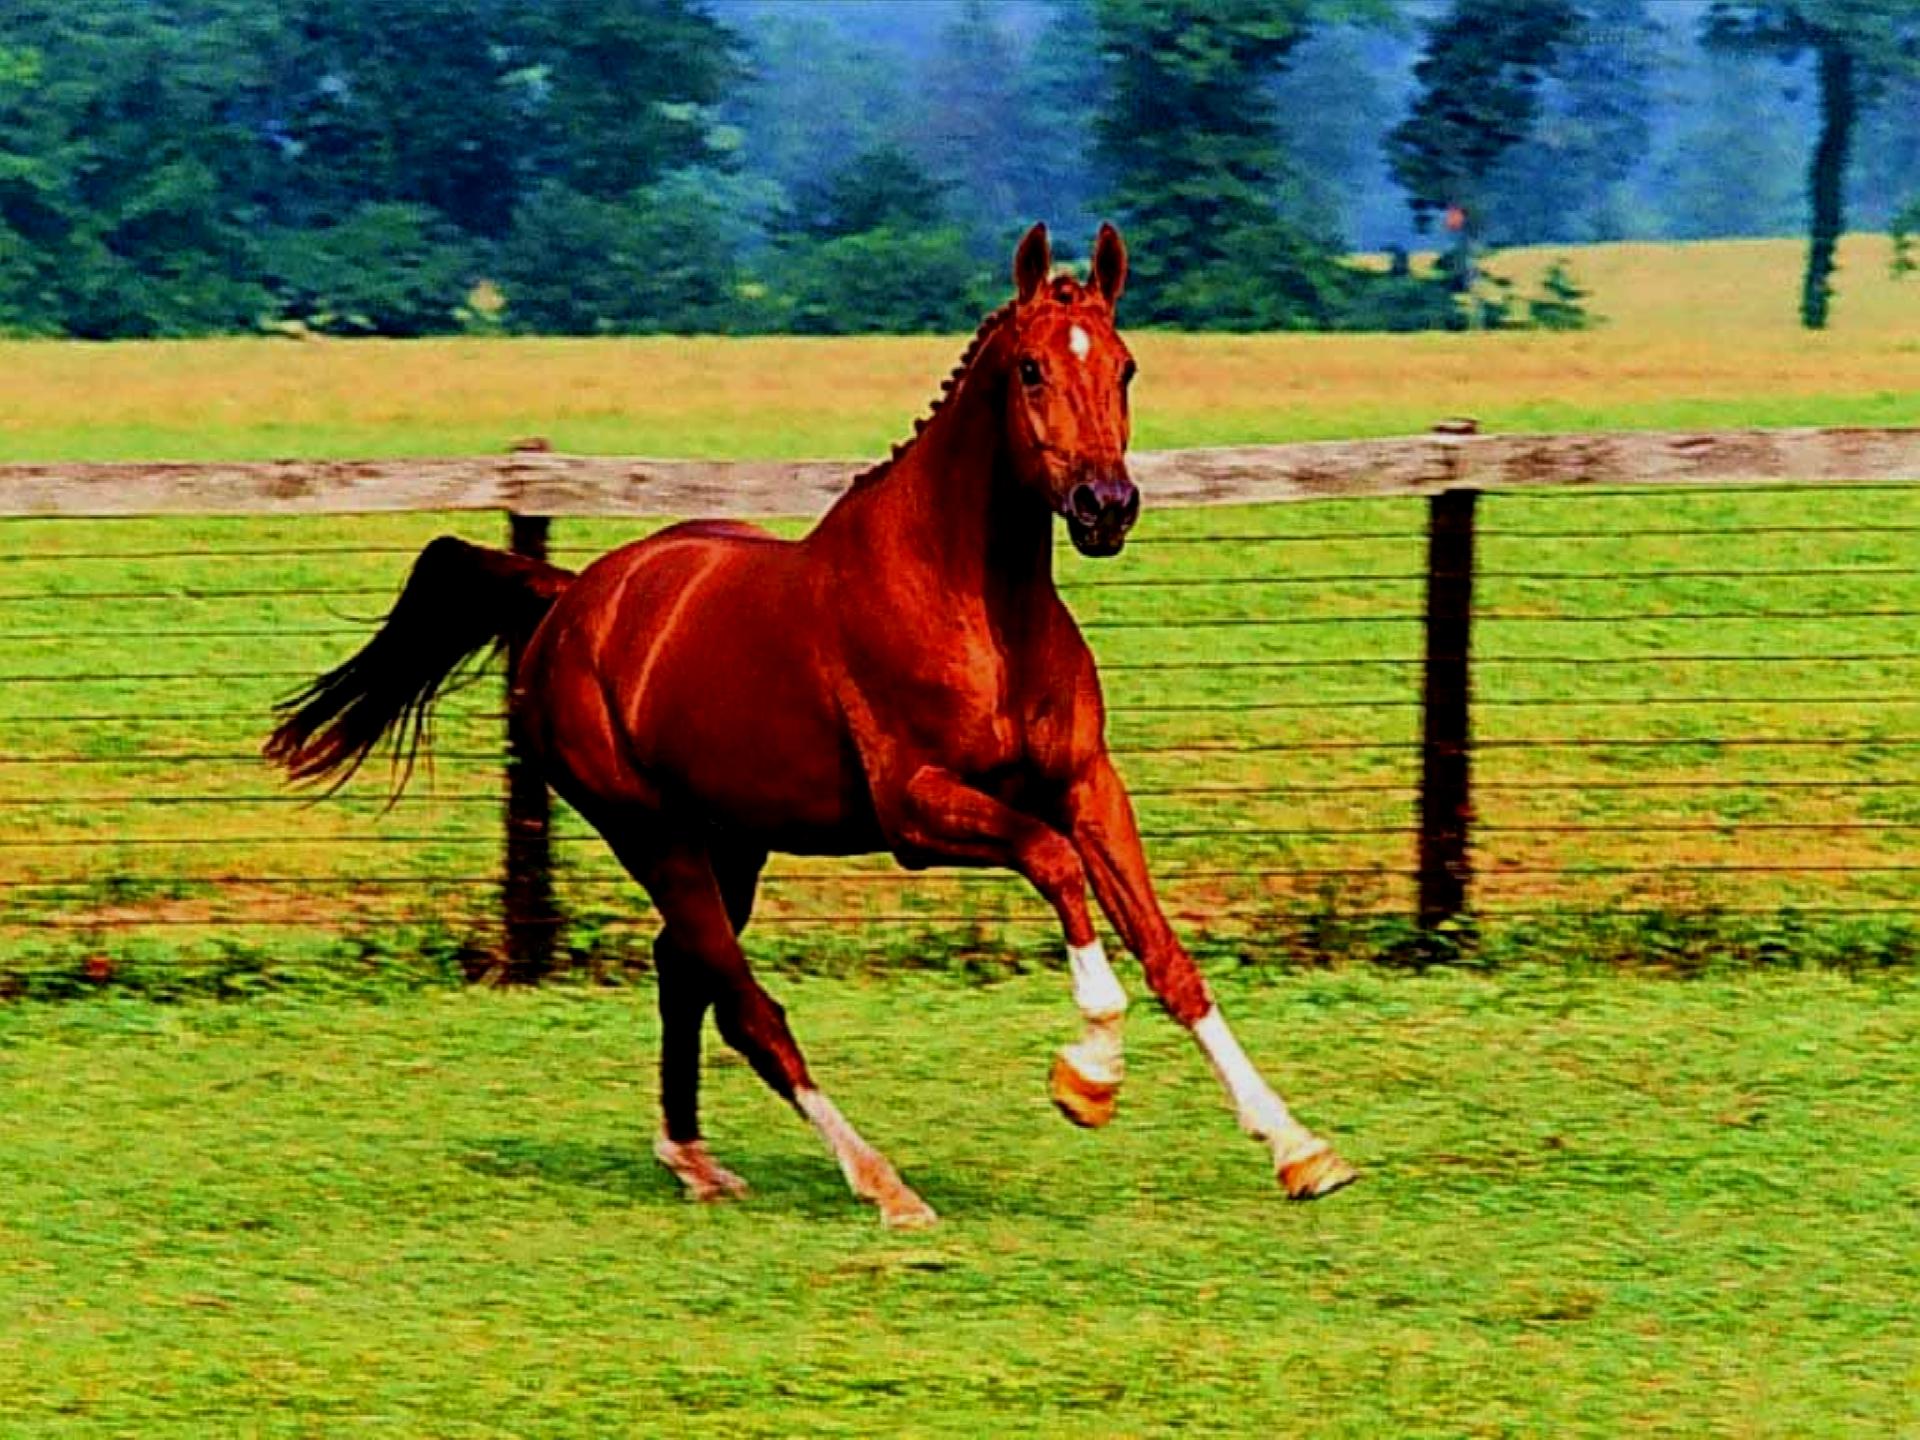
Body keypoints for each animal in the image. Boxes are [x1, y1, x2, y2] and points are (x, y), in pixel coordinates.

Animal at [266, 223, 1355, 1226]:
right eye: (1032, 369)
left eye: (1126, 365)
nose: (1105, 506)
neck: (975, 604)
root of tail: (569, 598)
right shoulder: (919, 812)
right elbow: (1053, 868)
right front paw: (1087, 1075)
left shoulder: (1087, 783)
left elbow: (1169, 957)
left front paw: (1300, 1150)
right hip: (651, 832)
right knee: (745, 1003)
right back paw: (883, 1185)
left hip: (733, 842)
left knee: (683, 971)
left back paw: (694, 1160)